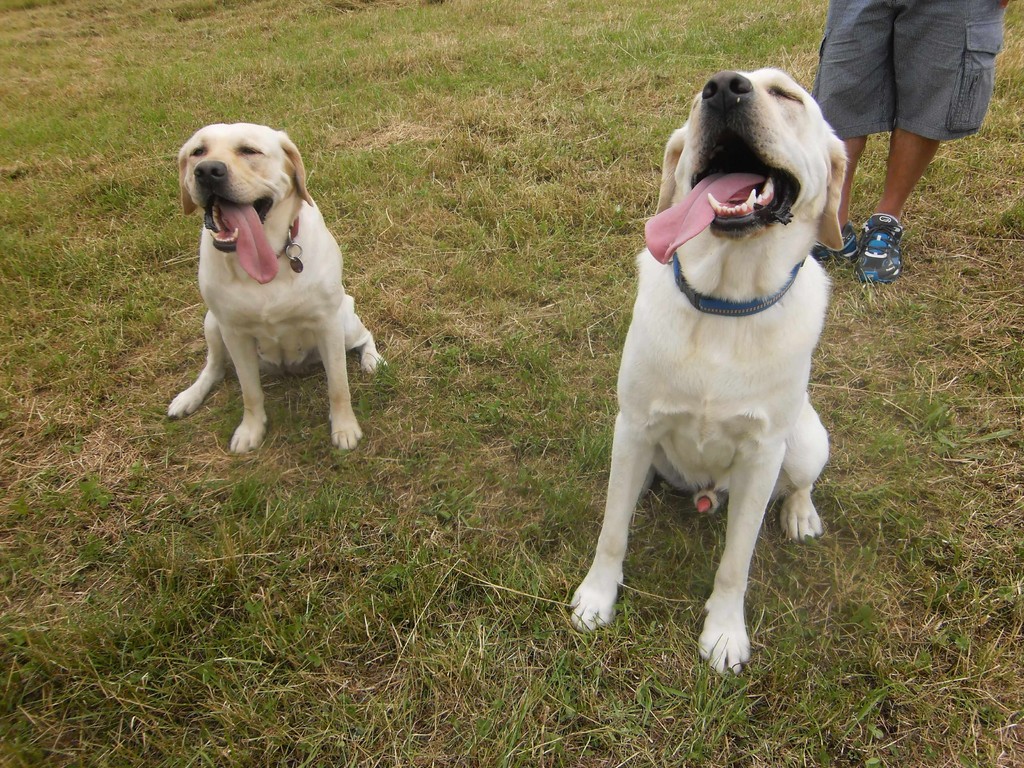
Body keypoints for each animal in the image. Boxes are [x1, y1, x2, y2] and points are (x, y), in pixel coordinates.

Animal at [169, 123, 382, 454]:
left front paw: (345, 428)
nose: (207, 171)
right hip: (212, 323)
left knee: (365, 336)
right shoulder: (234, 334)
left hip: (345, 323)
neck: (270, 256)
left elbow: (338, 385)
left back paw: (372, 361)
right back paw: (189, 396)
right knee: (214, 366)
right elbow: (250, 392)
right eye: (197, 152)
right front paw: (250, 430)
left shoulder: (328, 324)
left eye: (249, 151)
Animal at [573, 70, 843, 671]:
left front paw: (723, 634)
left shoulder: (763, 454)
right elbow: (611, 529)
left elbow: (736, 562)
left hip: (806, 439)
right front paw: (597, 598)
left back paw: (801, 514)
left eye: (787, 95)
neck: (725, 305)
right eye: (700, 98)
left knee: (801, 482)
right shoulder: (633, 428)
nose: (723, 87)